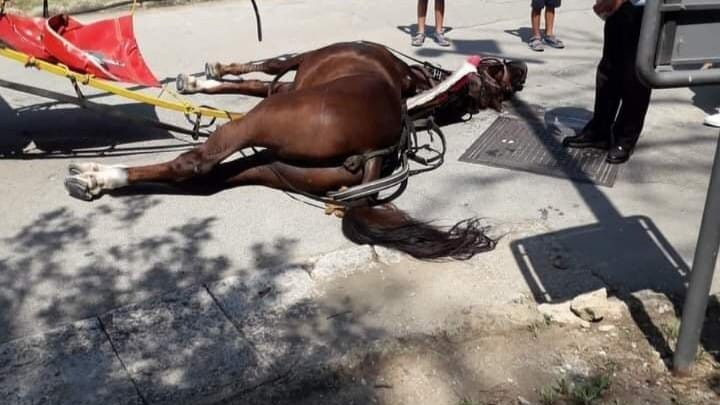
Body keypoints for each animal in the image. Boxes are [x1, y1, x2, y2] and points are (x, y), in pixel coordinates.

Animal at [64, 41, 527, 260]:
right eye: (500, 69)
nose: (522, 68)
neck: (414, 85)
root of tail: (374, 151)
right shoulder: (290, 83)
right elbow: (254, 81)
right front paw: (199, 82)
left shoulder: (297, 66)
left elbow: (266, 67)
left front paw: (205, 77)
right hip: (273, 166)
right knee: (210, 180)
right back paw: (102, 180)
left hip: (260, 121)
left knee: (195, 163)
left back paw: (98, 176)